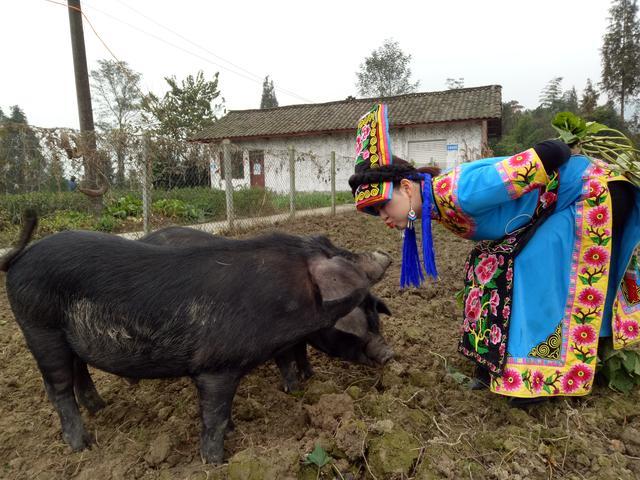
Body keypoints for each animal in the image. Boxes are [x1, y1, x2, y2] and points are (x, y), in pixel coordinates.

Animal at [0, 212, 390, 464]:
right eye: (345, 256)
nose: (385, 252)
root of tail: (21, 257)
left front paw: (233, 431)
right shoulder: (216, 367)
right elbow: (214, 414)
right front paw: (216, 462)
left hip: (68, 337)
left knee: (79, 371)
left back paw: (101, 408)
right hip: (39, 327)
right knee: (58, 388)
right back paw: (83, 446)